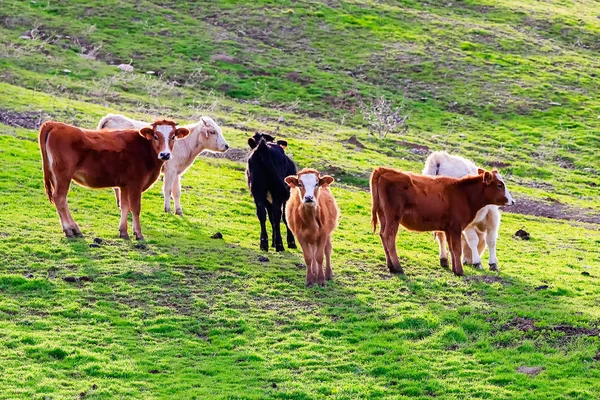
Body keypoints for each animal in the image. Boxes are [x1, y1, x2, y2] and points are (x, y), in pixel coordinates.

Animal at [39, 118, 189, 238]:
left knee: (61, 200)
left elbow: (125, 207)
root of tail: (55, 124)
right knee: (60, 198)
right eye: (156, 136)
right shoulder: (135, 184)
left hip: (56, 176)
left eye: (173, 136)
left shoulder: (124, 185)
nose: (165, 154)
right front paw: (138, 234)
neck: (145, 149)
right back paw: (70, 230)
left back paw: (74, 229)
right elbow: (135, 208)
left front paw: (123, 232)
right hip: (63, 175)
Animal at [98, 112, 230, 216]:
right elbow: (167, 189)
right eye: (212, 132)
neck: (185, 144)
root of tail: (110, 117)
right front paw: (167, 209)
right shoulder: (170, 169)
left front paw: (179, 211)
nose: (226, 146)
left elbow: (177, 191)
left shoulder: (177, 172)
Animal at [370, 167, 516, 276]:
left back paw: (390, 266)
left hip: (384, 216)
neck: (463, 193)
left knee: (383, 235)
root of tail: (383, 170)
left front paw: (454, 269)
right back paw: (397, 267)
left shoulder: (448, 228)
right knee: (389, 237)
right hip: (393, 217)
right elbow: (457, 249)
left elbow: (451, 248)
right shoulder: (456, 227)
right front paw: (460, 271)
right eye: (499, 185)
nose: (513, 201)